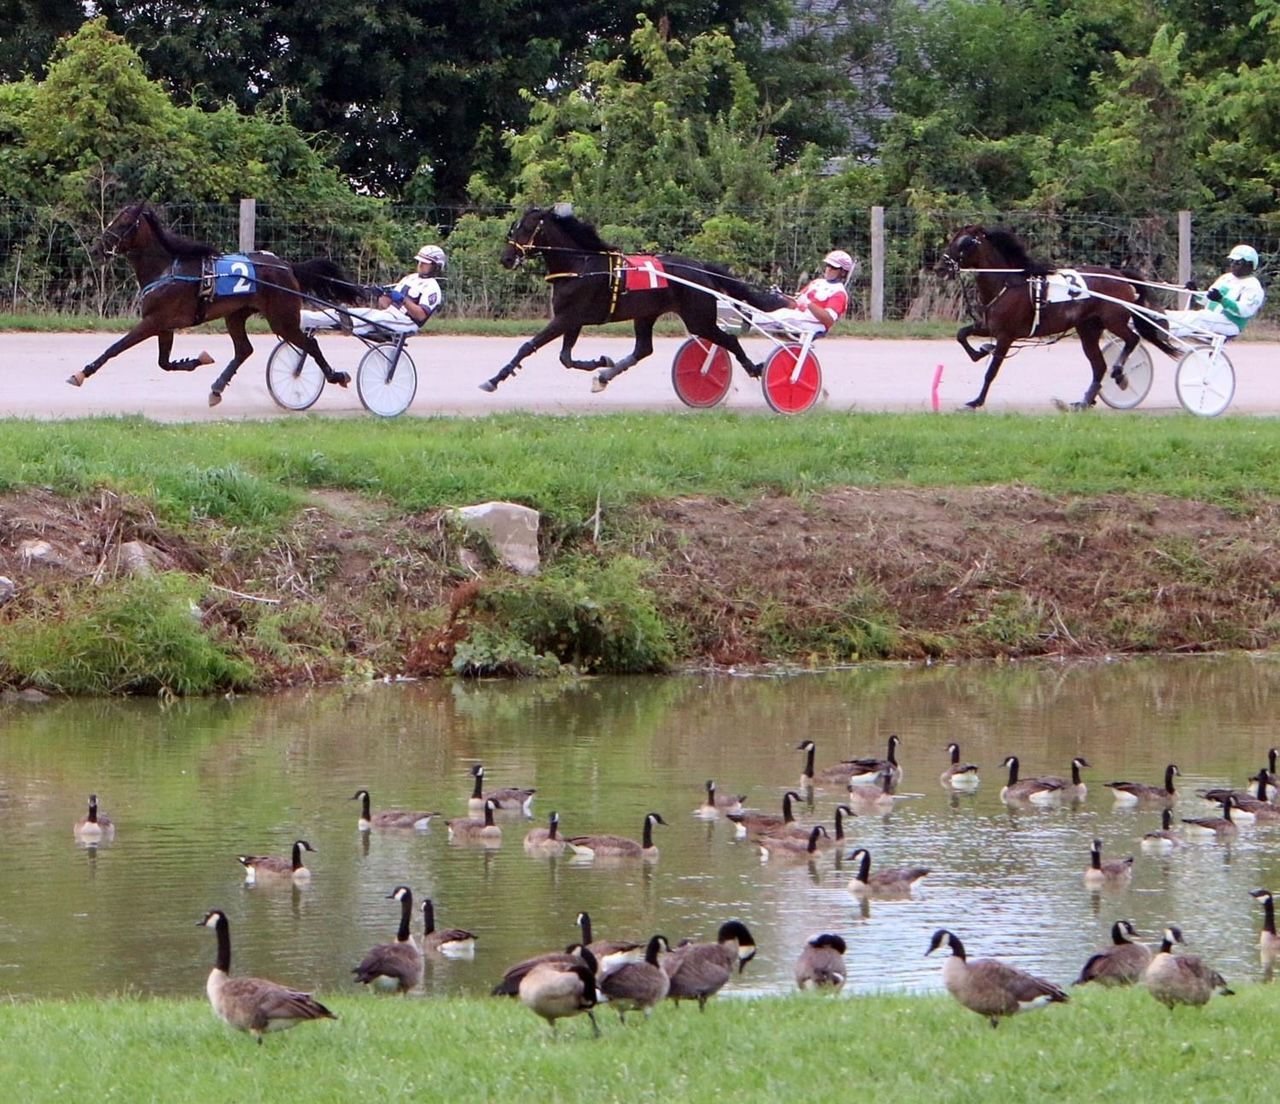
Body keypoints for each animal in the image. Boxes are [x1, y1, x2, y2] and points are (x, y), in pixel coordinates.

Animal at [72, 202, 364, 406]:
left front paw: (82, 373)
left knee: (309, 345)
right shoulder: (164, 325)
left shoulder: (154, 321)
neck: (167, 268)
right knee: (244, 350)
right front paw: (196, 360)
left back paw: (336, 376)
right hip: (236, 314)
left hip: (282, 318)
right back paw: (217, 388)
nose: (96, 249)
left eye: (123, 223)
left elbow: (116, 348)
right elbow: (164, 363)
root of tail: (286, 266)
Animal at [482, 205, 786, 393]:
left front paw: (494, 379)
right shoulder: (573, 320)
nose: (506, 258)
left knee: (730, 340)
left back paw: (755, 368)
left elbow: (528, 346)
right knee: (643, 350)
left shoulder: (567, 317)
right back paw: (604, 377)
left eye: (525, 228)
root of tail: (699, 267)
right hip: (647, 315)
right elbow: (566, 358)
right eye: (514, 227)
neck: (580, 264)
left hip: (699, 319)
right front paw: (602, 362)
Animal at [937, 225, 1179, 410]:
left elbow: (991, 371)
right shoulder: (990, 327)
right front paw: (980, 351)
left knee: (1132, 340)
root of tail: (1120, 275)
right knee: (1099, 365)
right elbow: (962, 334)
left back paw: (1119, 373)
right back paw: (1085, 401)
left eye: (963, 243)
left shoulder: (1006, 336)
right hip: (1088, 329)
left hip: (1114, 320)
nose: (940, 268)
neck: (1008, 283)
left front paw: (977, 400)